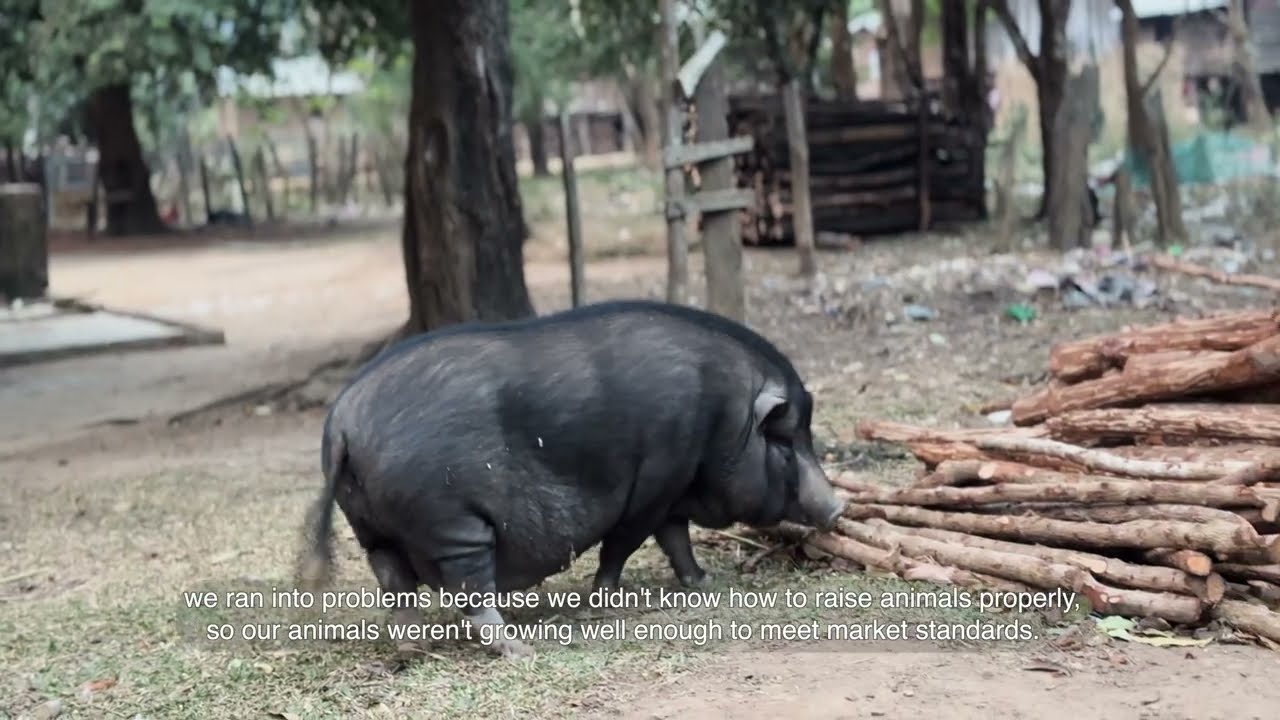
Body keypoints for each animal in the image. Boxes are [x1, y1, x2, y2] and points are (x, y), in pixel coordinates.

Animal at [296, 299, 844, 660]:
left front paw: (702, 582)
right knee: (469, 588)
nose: (838, 507)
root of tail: (342, 421)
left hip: (371, 528)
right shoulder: (654, 482)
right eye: (786, 440)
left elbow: (675, 539)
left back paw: (414, 648)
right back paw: (519, 649)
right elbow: (624, 542)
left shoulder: (670, 488)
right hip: (448, 520)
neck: (726, 416)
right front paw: (602, 602)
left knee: (394, 581)